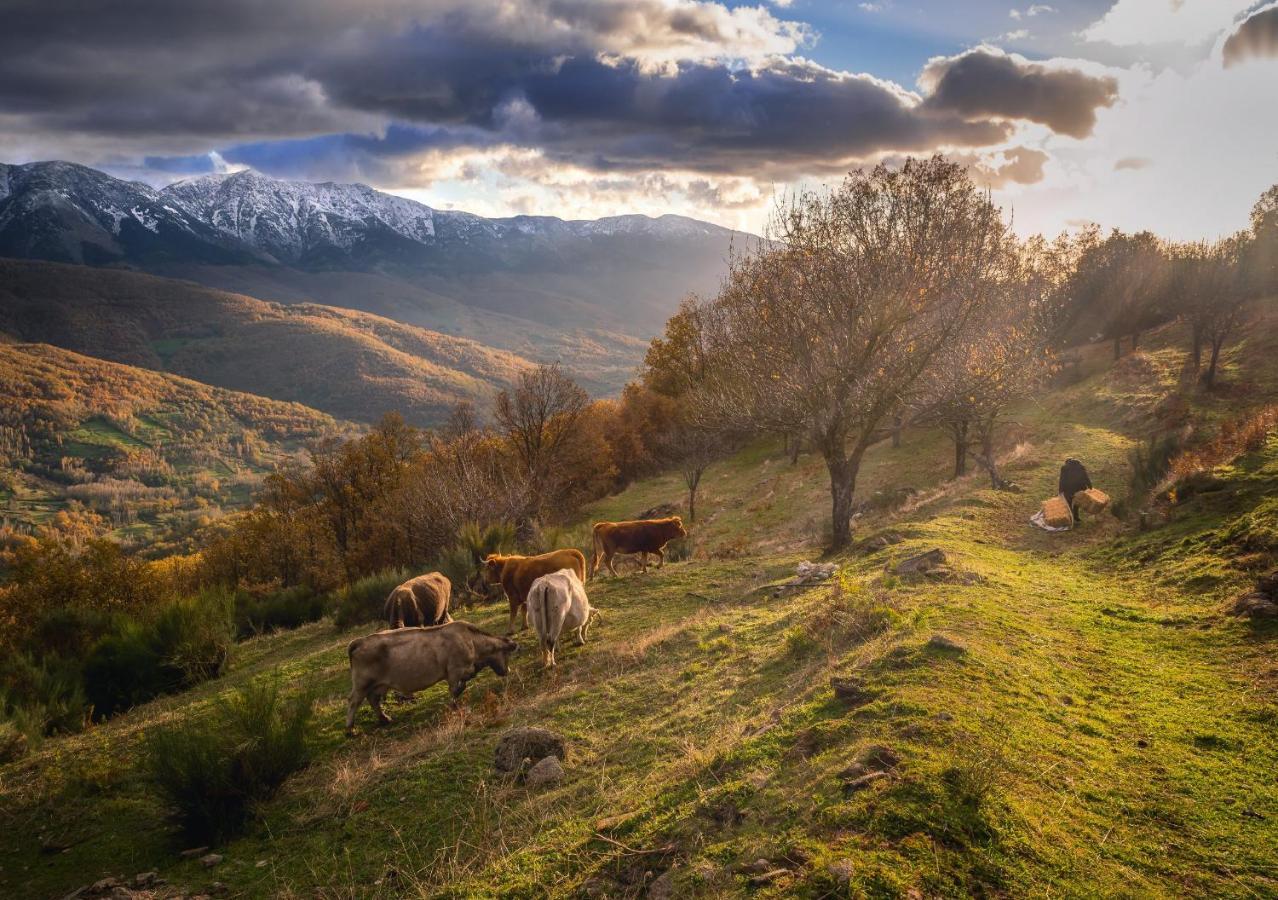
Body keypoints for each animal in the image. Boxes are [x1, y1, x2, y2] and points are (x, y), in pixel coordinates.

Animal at [345, 621, 518, 736]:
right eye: (507, 653)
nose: (507, 670)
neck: (472, 642)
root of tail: (359, 641)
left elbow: (461, 688)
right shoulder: (454, 672)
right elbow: (456, 690)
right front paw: (454, 707)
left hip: (377, 685)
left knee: (373, 699)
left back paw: (384, 719)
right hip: (361, 684)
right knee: (353, 702)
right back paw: (350, 729)